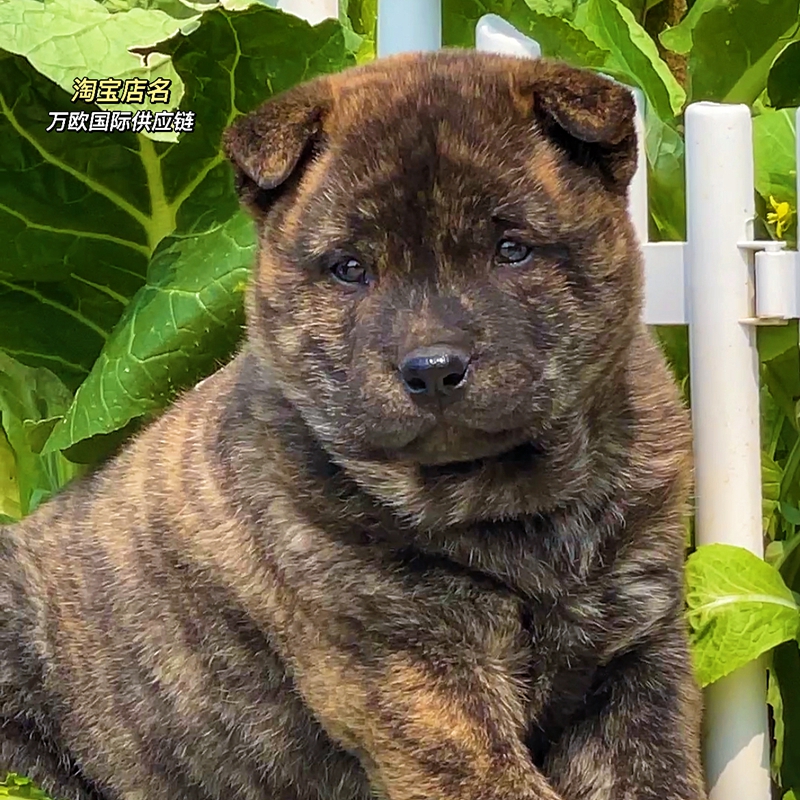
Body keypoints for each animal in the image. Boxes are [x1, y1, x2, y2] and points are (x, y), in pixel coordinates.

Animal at [3, 51, 708, 800]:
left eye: (512, 250)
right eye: (349, 268)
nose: (433, 369)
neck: (512, 508)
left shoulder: (638, 653)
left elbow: (658, 776)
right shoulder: (412, 672)